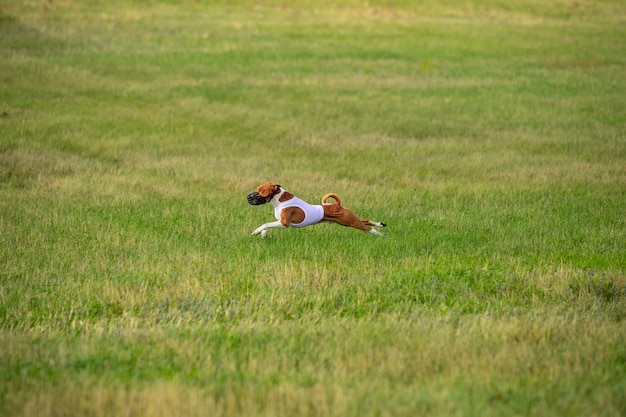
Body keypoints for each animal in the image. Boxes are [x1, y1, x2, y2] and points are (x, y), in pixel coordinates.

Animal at [245, 182, 382, 237]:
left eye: (260, 191)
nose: (248, 197)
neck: (280, 201)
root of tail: (337, 204)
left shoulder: (284, 223)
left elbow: (265, 224)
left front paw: (256, 231)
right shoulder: (278, 220)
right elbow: (267, 226)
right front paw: (263, 234)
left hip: (350, 221)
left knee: (368, 228)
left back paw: (381, 234)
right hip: (346, 222)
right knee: (366, 221)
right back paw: (381, 224)